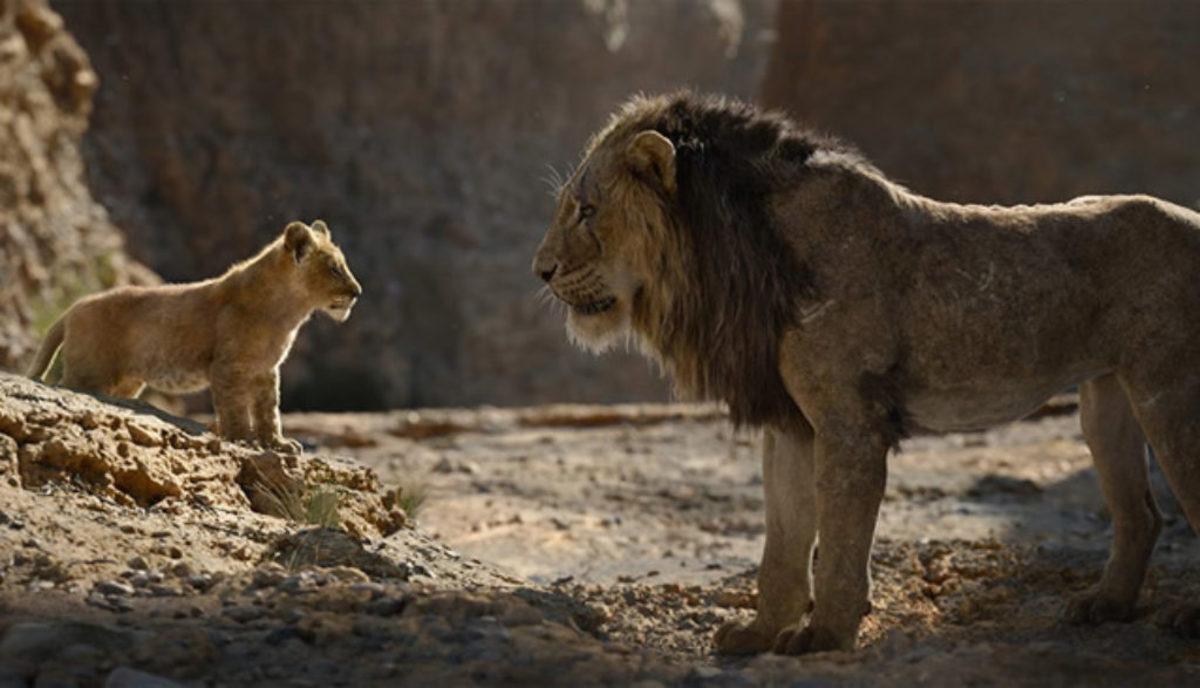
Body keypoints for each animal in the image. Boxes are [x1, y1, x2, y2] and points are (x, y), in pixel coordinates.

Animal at [27, 220, 362, 453]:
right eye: (334, 268)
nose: (358, 292)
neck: (288, 311)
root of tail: (72, 308)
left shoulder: (266, 370)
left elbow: (269, 410)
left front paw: (278, 444)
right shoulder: (227, 367)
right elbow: (235, 408)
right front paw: (243, 439)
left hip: (125, 382)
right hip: (89, 373)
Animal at [532, 91, 1200, 654]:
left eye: (587, 211)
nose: (541, 270)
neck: (734, 255)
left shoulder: (848, 421)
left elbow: (838, 536)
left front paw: (824, 634)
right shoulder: (791, 423)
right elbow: (783, 539)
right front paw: (760, 633)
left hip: (1168, 392)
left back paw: (1180, 620)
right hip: (1107, 399)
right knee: (1142, 515)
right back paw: (1104, 606)